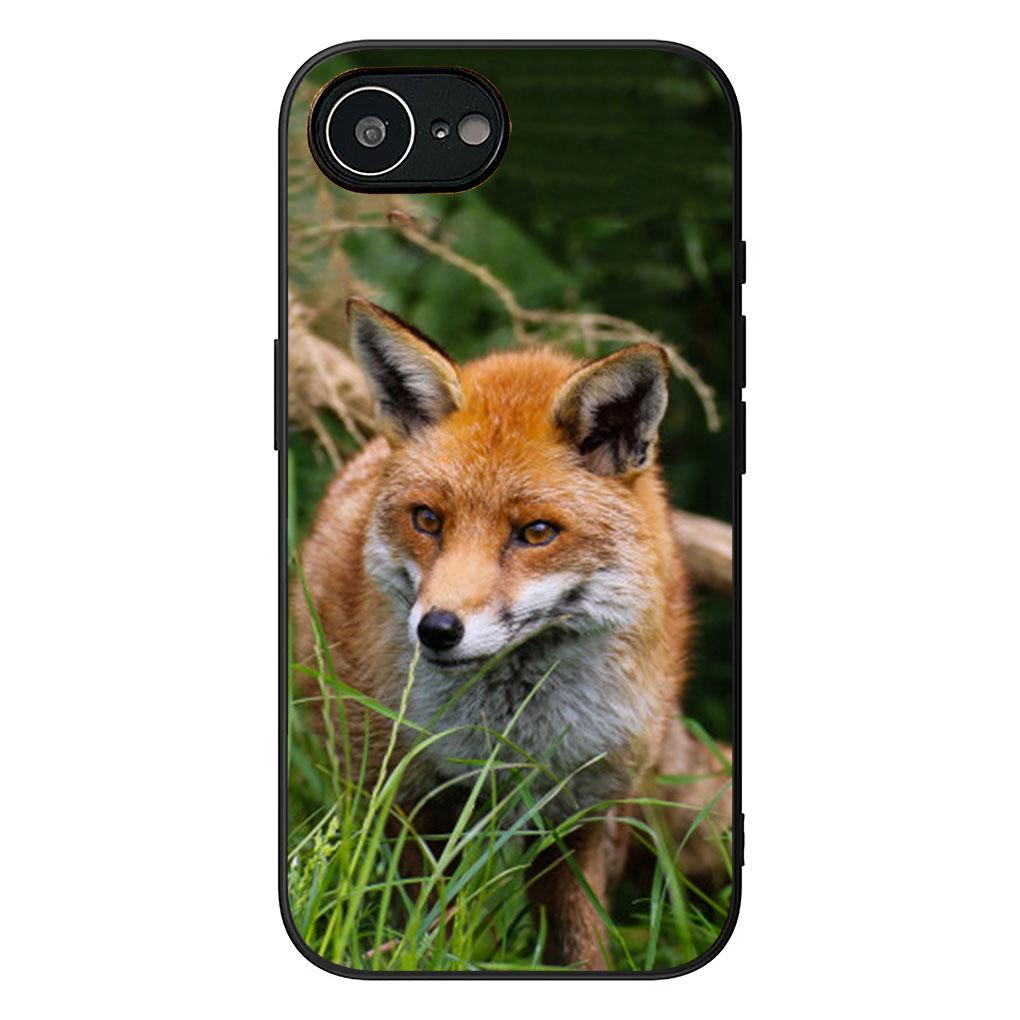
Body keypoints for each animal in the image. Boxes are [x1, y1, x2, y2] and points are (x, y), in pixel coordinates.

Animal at [292, 297, 731, 970]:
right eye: (427, 519)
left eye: (536, 533)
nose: (437, 630)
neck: (510, 735)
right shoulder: (412, 801)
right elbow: (431, 929)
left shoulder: (582, 812)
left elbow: (580, 943)